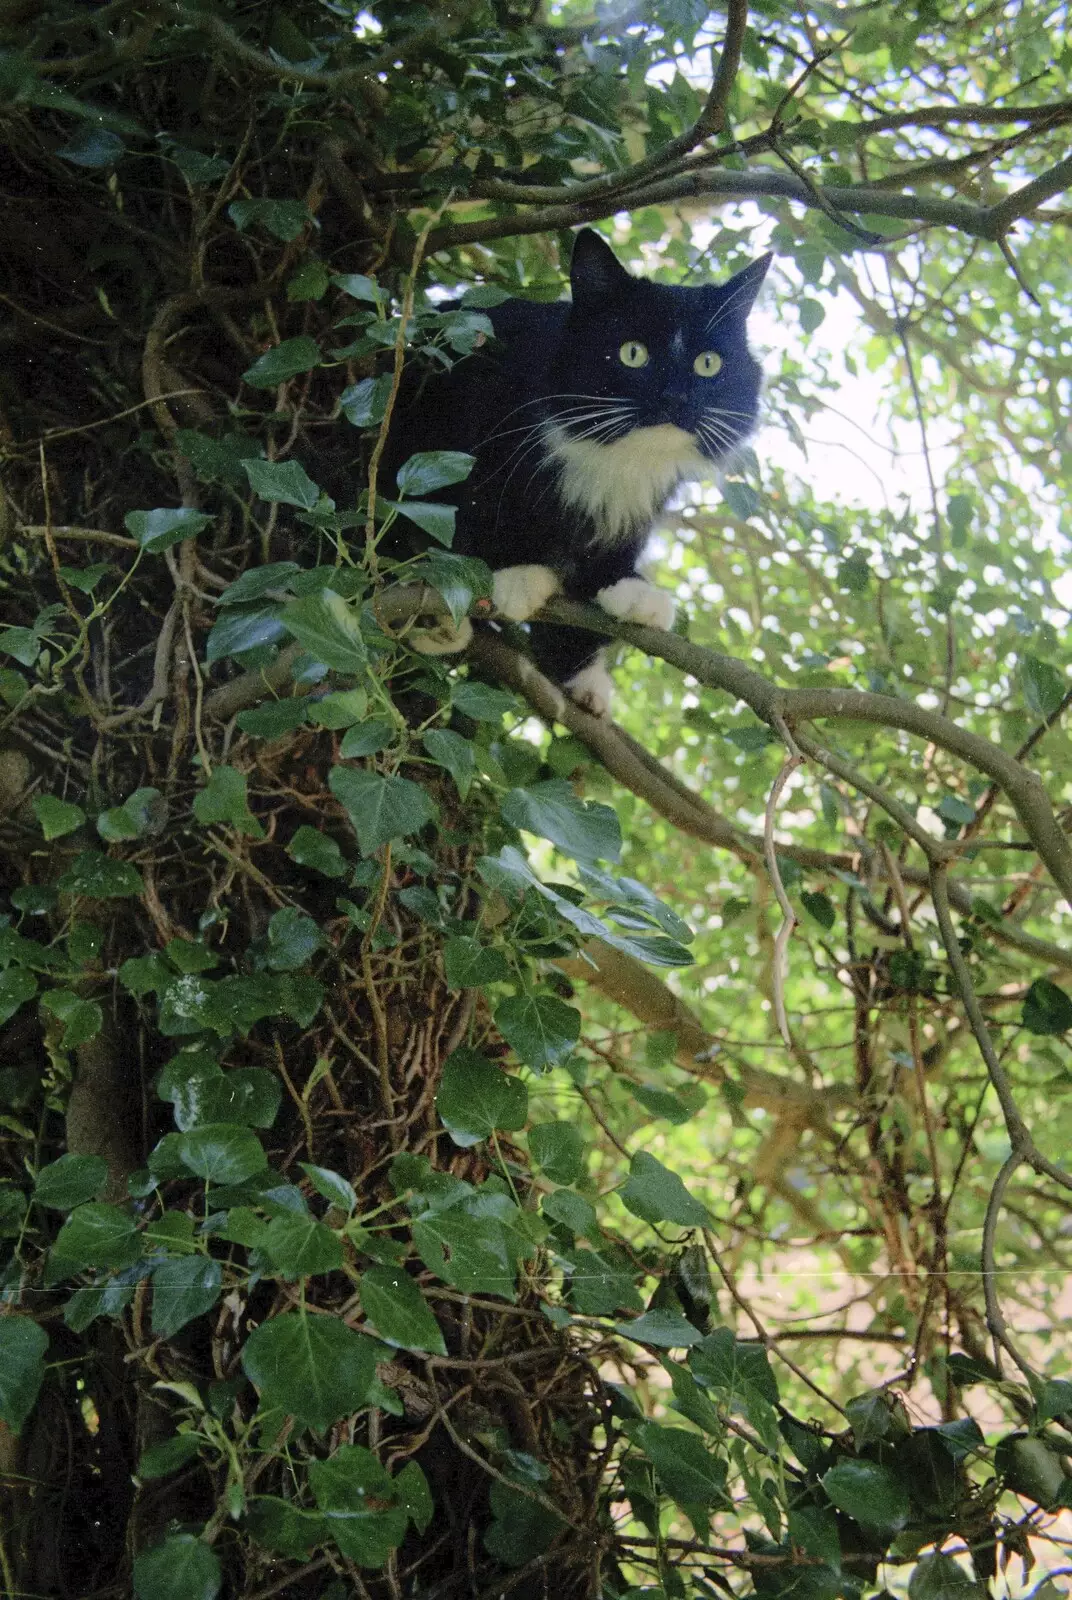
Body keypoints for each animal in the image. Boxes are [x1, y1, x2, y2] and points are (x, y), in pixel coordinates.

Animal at [390, 230, 768, 713]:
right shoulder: (485, 421)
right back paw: (434, 617)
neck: (618, 456)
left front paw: (615, 596)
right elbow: (479, 503)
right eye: (632, 354)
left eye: (708, 363)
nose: (676, 398)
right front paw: (515, 571)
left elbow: (612, 546)